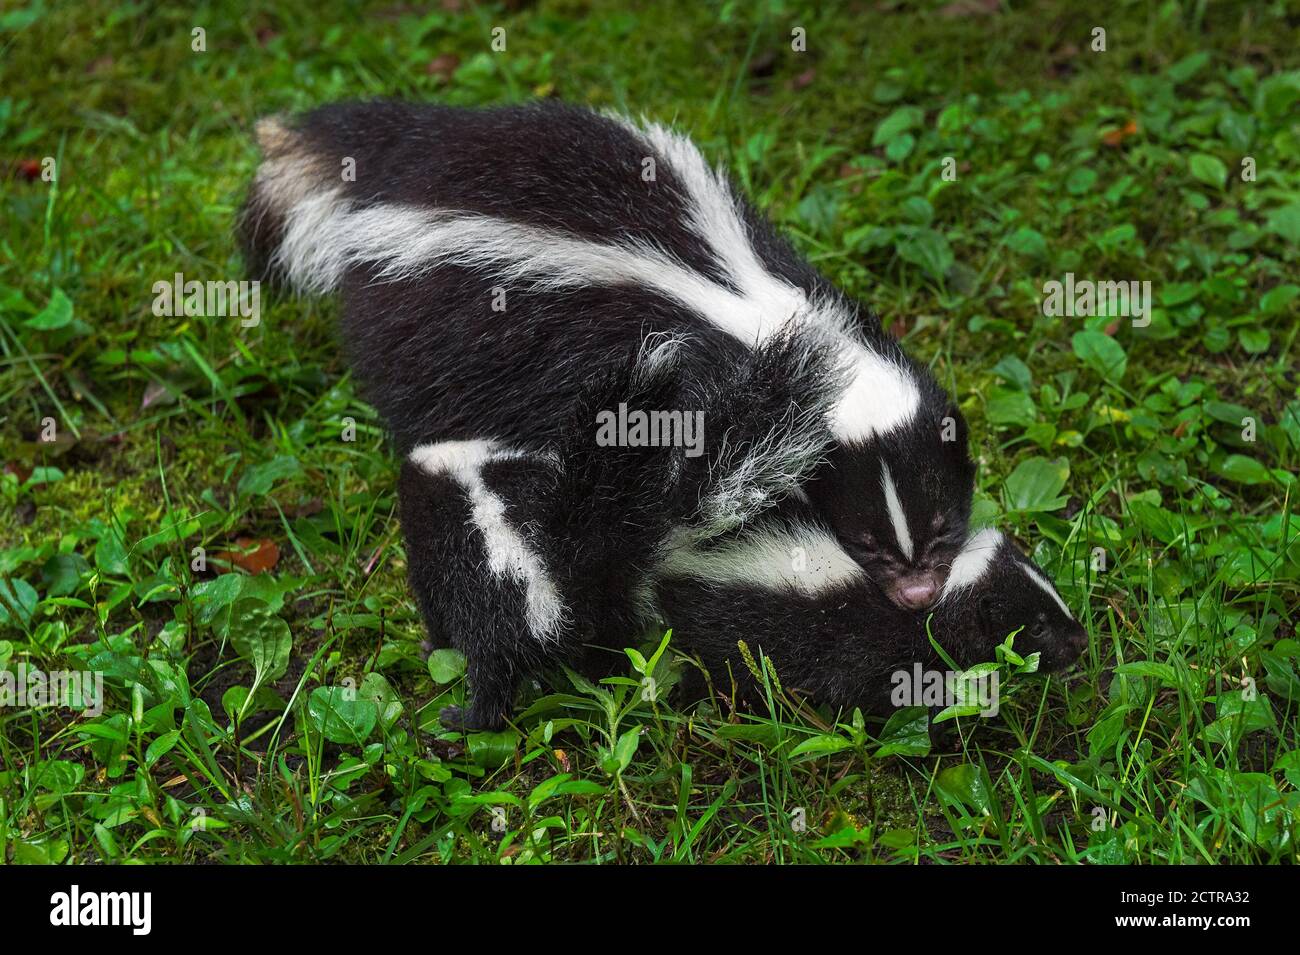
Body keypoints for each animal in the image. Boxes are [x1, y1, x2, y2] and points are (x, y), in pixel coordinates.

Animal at [239, 100, 977, 608]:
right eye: (865, 541)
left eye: (944, 527)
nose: (918, 596)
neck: (759, 308)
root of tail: (401, 161)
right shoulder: (696, 389)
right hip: (425, 324)